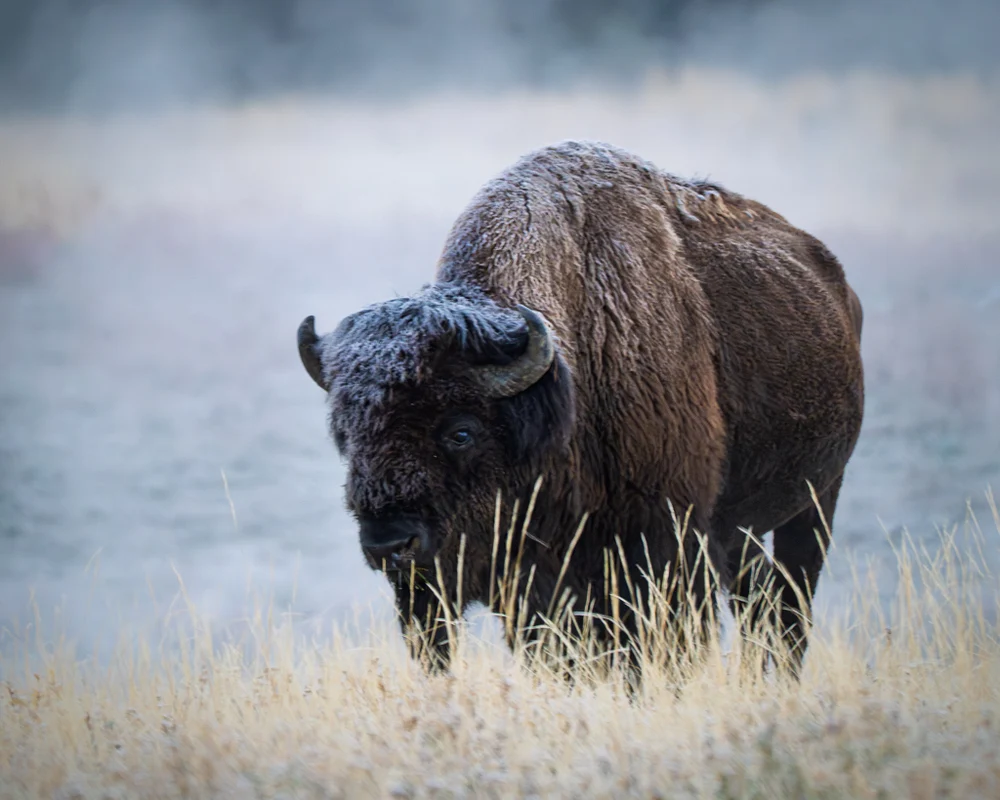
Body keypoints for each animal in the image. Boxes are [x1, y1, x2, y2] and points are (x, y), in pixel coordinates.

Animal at [298, 141, 864, 677]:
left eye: (461, 432)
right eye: (347, 436)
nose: (388, 545)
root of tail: (837, 279)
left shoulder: (667, 548)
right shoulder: (527, 580)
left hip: (816, 499)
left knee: (791, 602)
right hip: (739, 526)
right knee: (759, 597)